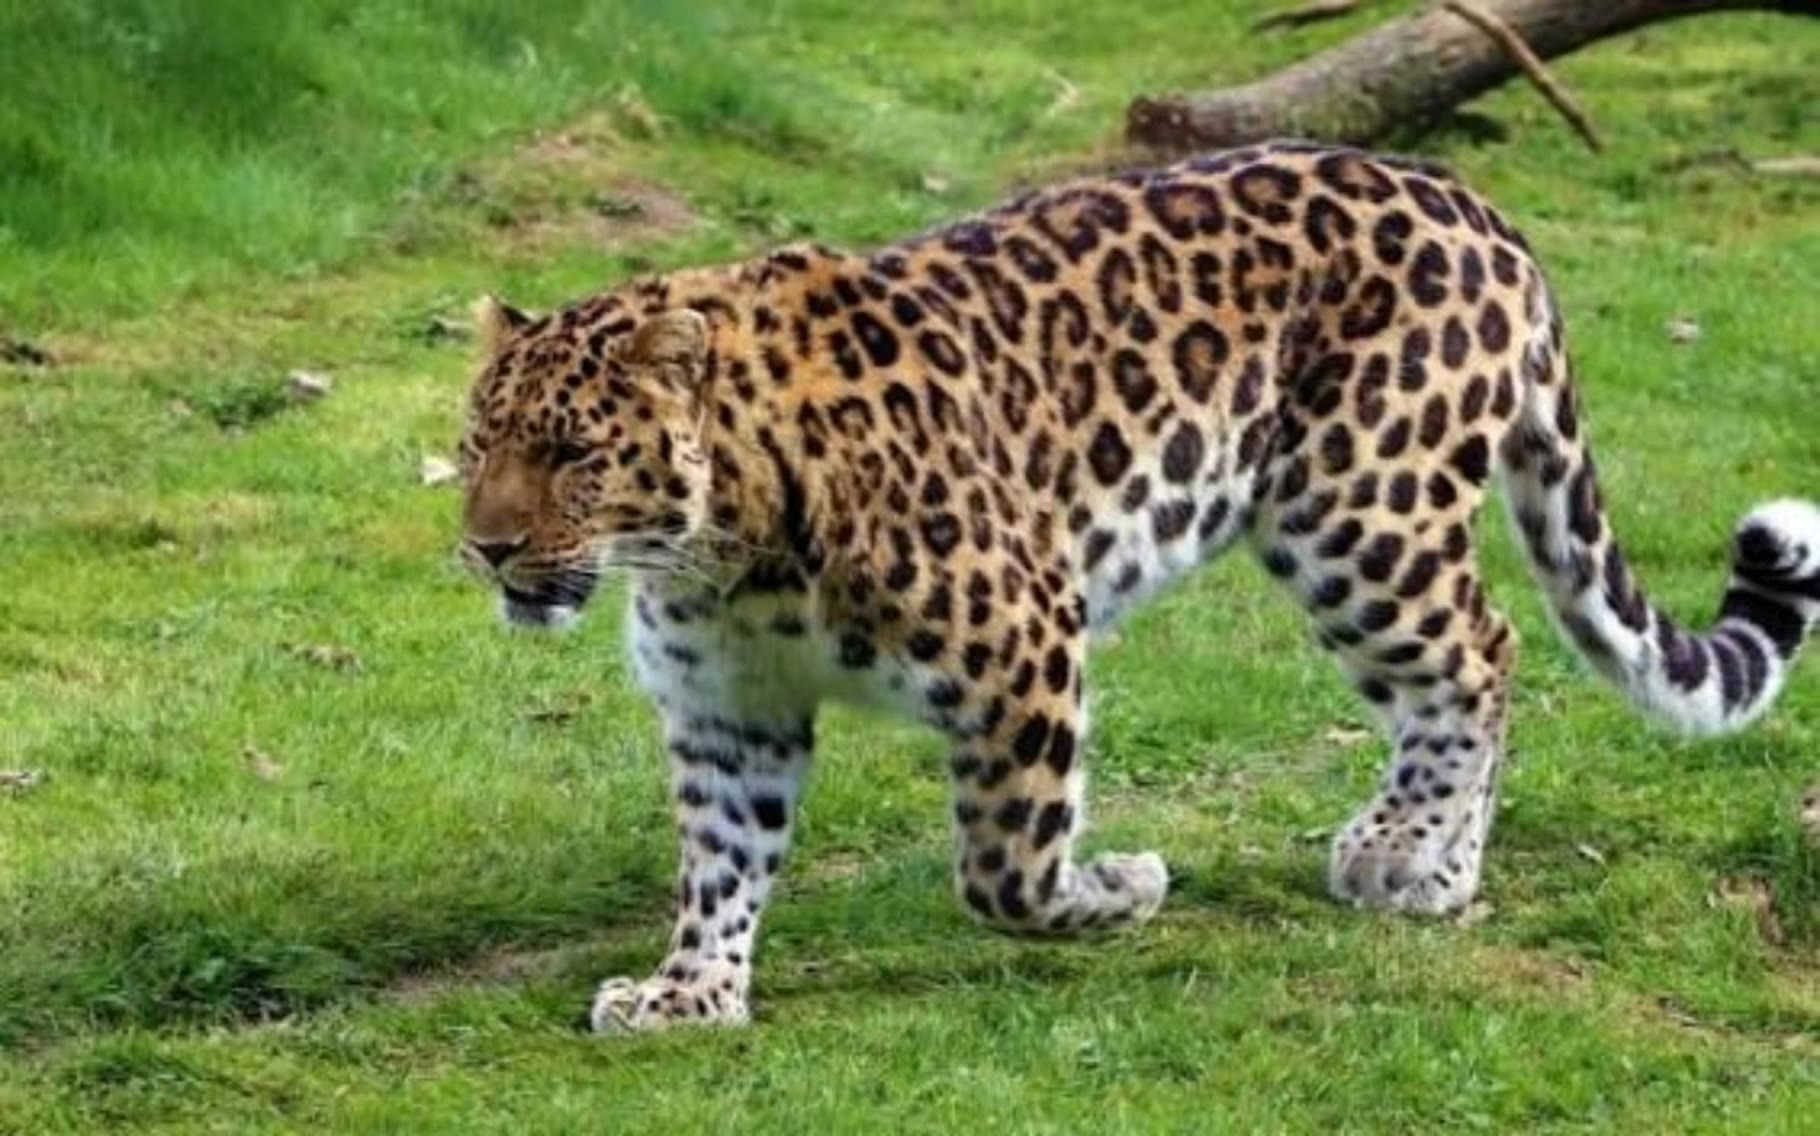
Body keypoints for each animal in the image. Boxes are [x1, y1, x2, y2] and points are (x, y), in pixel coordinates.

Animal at [455, 141, 1820, 1034]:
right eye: (476, 445)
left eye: (573, 454)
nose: (487, 548)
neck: (719, 553)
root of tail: (1477, 206)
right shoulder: (727, 711)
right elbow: (720, 859)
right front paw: (689, 991)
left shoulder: (1021, 639)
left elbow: (1005, 866)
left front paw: (1118, 888)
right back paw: (1433, 863)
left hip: (1358, 511)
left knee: (1481, 651)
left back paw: (1412, 855)